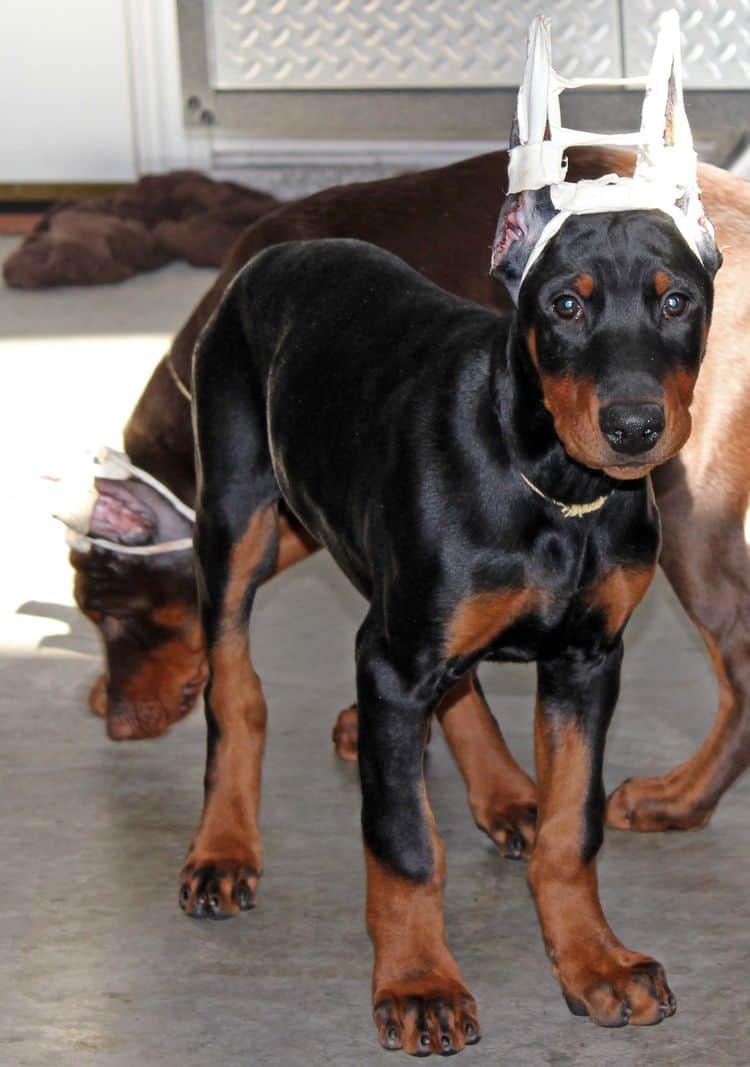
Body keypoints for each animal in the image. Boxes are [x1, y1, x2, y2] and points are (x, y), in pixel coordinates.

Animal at [181, 183, 721, 1049]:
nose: (634, 427)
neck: (554, 487)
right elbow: (404, 839)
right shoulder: (394, 659)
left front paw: (593, 961)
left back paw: (504, 792)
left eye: (677, 301)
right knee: (235, 683)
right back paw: (225, 845)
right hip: (237, 517)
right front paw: (418, 983)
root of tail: (277, 251)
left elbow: (574, 826)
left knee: (454, 685)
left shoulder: (588, 660)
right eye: (565, 304)